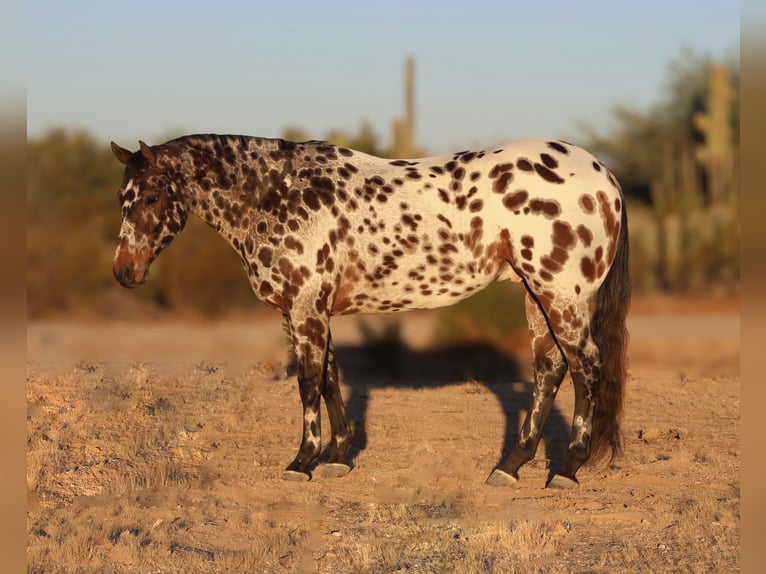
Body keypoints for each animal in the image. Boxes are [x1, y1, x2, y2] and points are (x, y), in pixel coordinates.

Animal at [112, 135, 632, 490]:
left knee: (585, 367)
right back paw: (510, 465)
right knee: (549, 369)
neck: (278, 193)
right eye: (122, 199)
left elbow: (308, 383)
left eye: (152, 196)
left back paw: (567, 468)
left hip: (560, 296)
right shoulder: (306, 311)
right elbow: (329, 377)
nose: (124, 272)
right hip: (535, 294)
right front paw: (339, 456)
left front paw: (303, 461)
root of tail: (604, 174)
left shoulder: (306, 308)